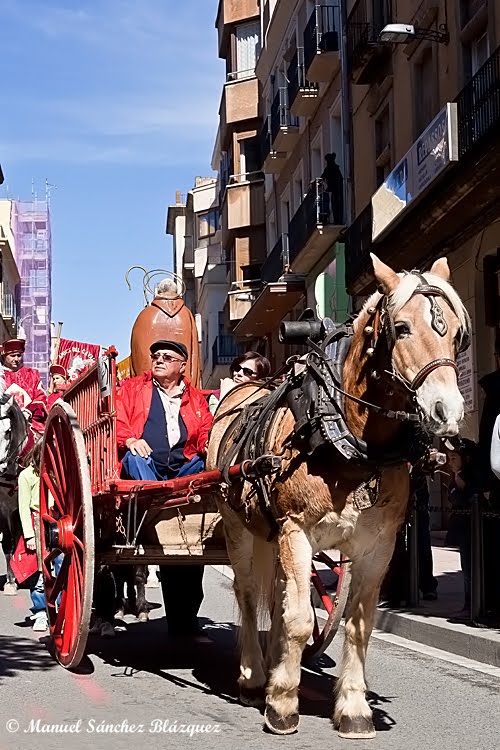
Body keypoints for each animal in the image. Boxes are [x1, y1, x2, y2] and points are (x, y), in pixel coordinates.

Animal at [207, 255, 471, 738]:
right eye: (401, 327)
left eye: (455, 330)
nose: (447, 412)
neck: (344, 435)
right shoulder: (295, 530)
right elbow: (298, 619)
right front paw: (282, 704)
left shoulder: (379, 545)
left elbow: (357, 624)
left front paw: (352, 707)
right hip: (239, 526)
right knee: (249, 594)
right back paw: (254, 676)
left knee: (277, 593)